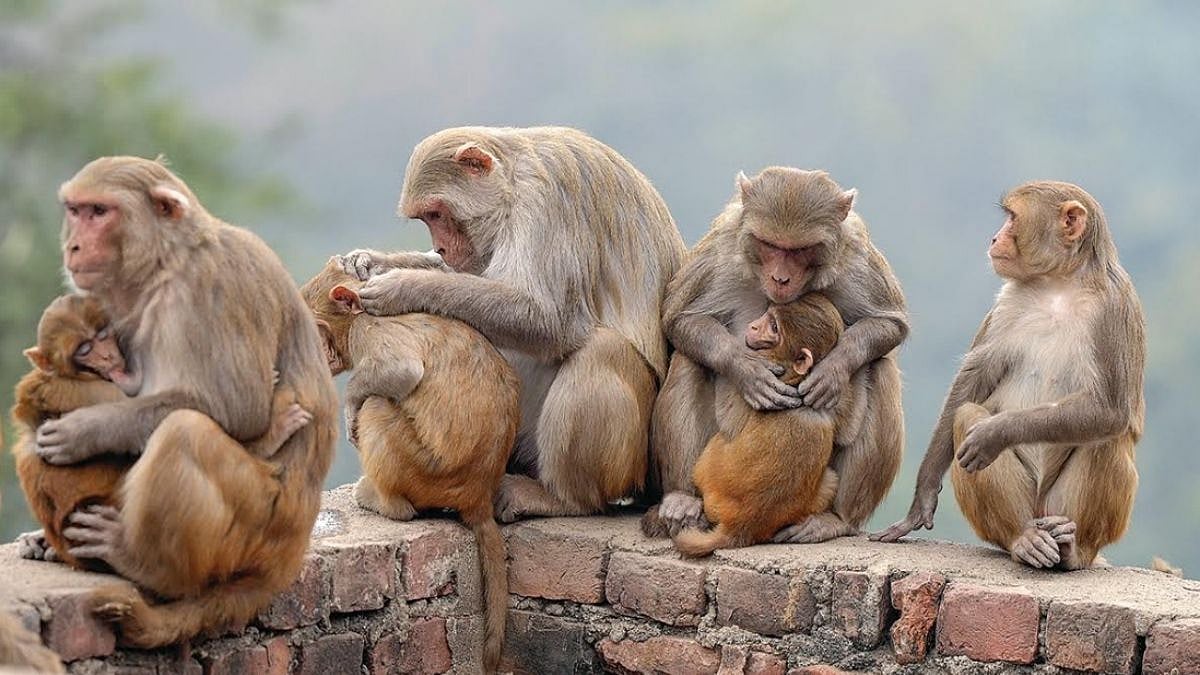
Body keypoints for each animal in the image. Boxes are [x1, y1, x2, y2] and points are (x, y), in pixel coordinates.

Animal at [300, 259, 520, 672]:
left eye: (319, 332)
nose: (316, 355)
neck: (358, 313)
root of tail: (478, 494)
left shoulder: (370, 332)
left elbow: (399, 371)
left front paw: (349, 405)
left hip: (422, 470)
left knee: (377, 406)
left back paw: (385, 502)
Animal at [336, 126, 685, 522]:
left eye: (437, 214)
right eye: (426, 218)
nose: (440, 248)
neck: (513, 181)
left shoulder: (545, 201)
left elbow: (547, 319)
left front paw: (402, 286)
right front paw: (370, 261)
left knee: (601, 349)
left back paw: (561, 498)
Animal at [672, 294, 849, 557]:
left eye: (774, 327)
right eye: (769, 316)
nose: (754, 326)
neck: (794, 378)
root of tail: (741, 526)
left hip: (710, 476)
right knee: (831, 479)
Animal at [873, 181, 1143, 571]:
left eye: (1013, 218)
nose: (994, 238)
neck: (1059, 285)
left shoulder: (1116, 306)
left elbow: (1110, 408)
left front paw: (995, 433)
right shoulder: (1008, 302)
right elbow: (974, 381)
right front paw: (923, 494)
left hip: (1070, 512)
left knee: (1105, 433)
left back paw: (1072, 548)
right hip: (1025, 512)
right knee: (966, 415)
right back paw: (1023, 539)